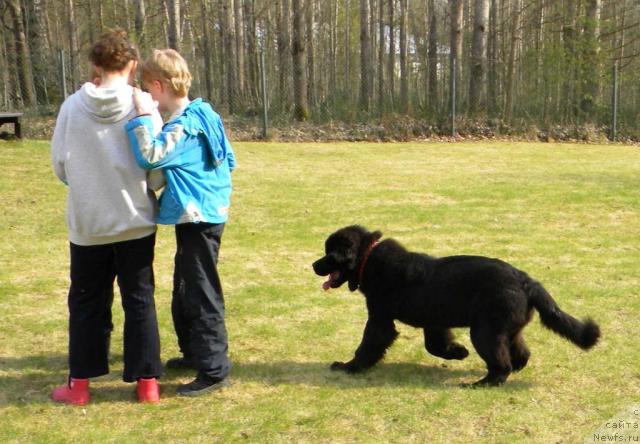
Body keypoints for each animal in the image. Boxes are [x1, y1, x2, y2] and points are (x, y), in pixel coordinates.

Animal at [312, 225, 604, 386]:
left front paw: (349, 367)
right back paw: (515, 367)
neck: (367, 257)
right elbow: (434, 346)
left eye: (329, 254)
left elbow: (367, 345)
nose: (313, 265)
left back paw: (481, 384)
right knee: (521, 352)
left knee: (501, 366)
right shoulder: (434, 322)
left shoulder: (380, 319)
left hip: (485, 332)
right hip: (506, 329)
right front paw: (459, 352)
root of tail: (527, 280)